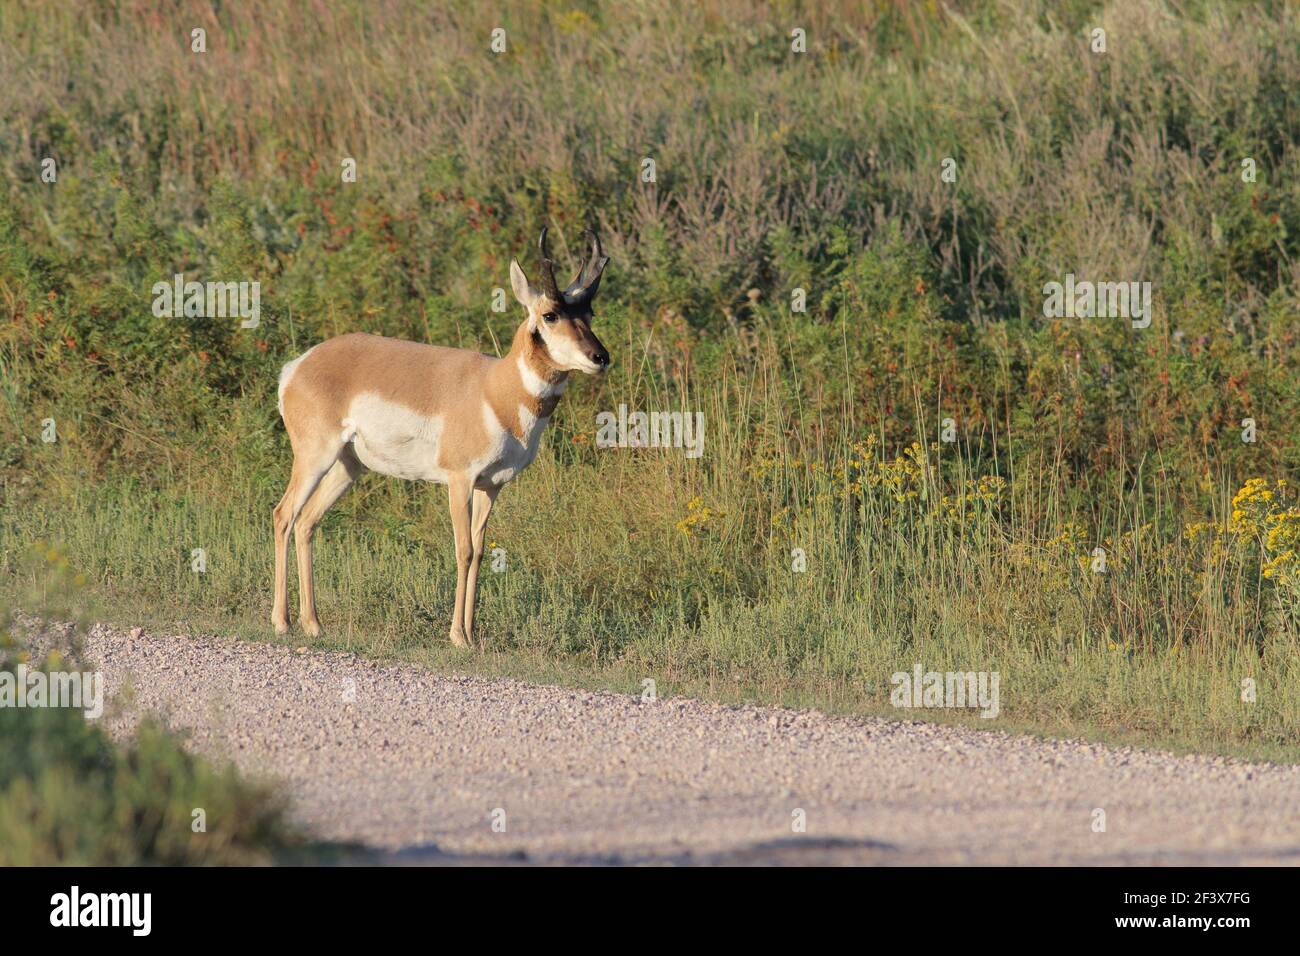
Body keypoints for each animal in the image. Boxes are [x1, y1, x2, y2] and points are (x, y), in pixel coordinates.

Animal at [274, 231, 608, 647]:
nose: (600, 357)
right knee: (284, 515)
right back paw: (282, 622)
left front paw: (473, 634)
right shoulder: (459, 480)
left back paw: (313, 624)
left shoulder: (491, 486)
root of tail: (297, 366)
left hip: (348, 468)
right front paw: (458, 637)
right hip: (315, 456)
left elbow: (479, 551)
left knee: (306, 523)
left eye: (589, 314)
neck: (494, 389)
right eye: (551, 315)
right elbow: (463, 550)